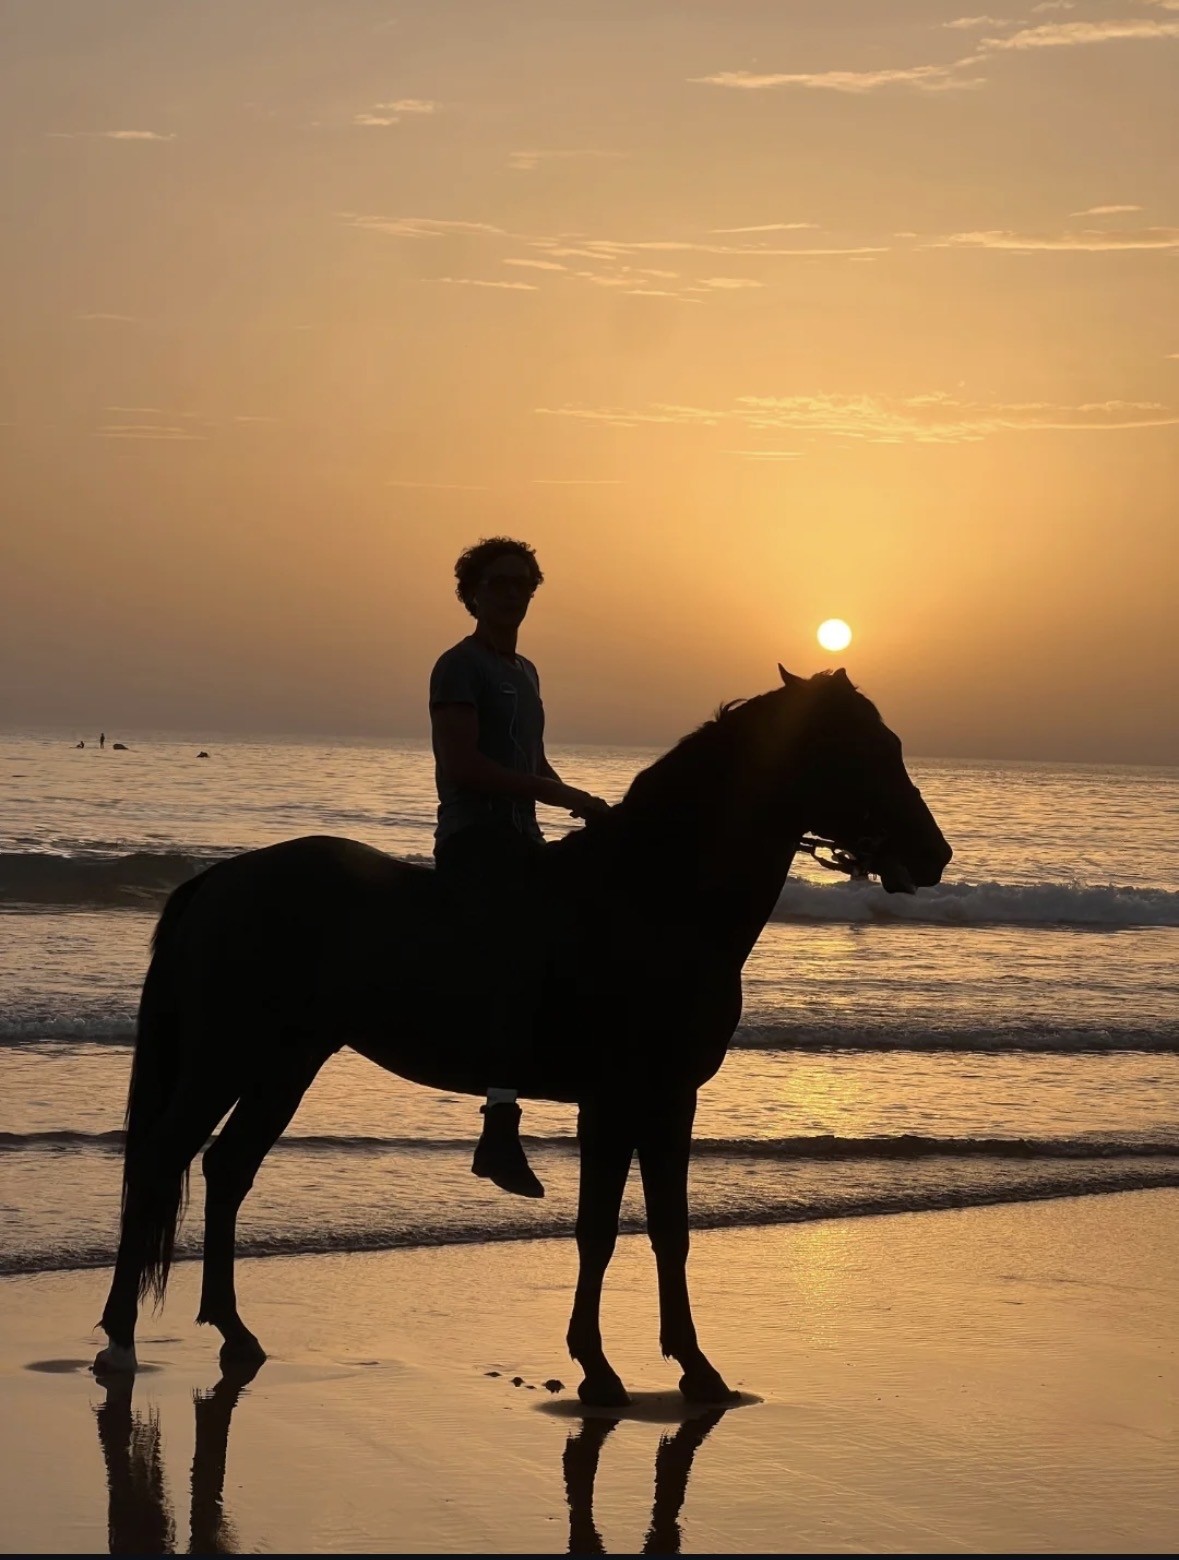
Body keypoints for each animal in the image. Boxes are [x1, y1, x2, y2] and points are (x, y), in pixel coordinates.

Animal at [94, 666, 951, 1405]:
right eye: (869, 748)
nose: (934, 854)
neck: (651, 899)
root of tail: (220, 880)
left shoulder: (668, 1100)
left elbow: (667, 1231)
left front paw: (693, 1370)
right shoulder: (615, 1101)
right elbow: (599, 1231)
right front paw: (599, 1369)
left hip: (285, 1064)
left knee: (227, 1170)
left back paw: (234, 1333)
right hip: (225, 1058)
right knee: (162, 1162)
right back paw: (119, 1336)